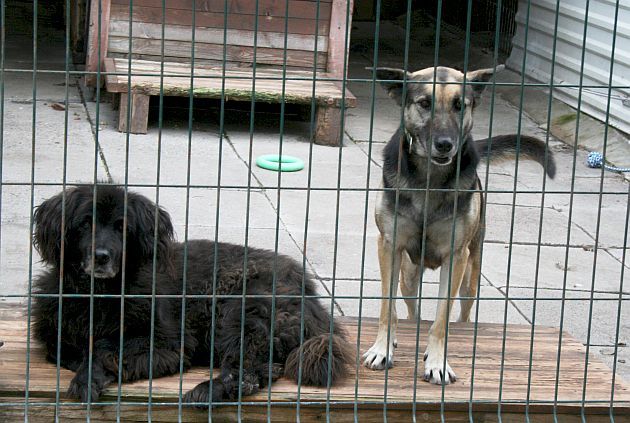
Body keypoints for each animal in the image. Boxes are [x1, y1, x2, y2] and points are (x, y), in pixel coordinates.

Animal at [32, 185, 354, 404]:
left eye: (122, 228)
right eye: (85, 223)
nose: (101, 256)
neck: (101, 295)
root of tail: (310, 293)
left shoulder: (170, 345)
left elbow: (103, 348)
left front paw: (88, 377)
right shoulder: (56, 336)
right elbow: (70, 350)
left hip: (239, 311)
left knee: (248, 369)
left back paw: (209, 391)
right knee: (265, 368)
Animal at [362, 64, 556, 386]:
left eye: (459, 105)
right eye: (424, 103)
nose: (445, 145)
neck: (430, 178)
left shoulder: (457, 256)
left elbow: (441, 318)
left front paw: (437, 361)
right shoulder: (389, 245)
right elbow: (387, 309)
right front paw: (382, 348)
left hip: (470, 278)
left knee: (462, 313)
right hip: (408, 277)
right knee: (412, 310)